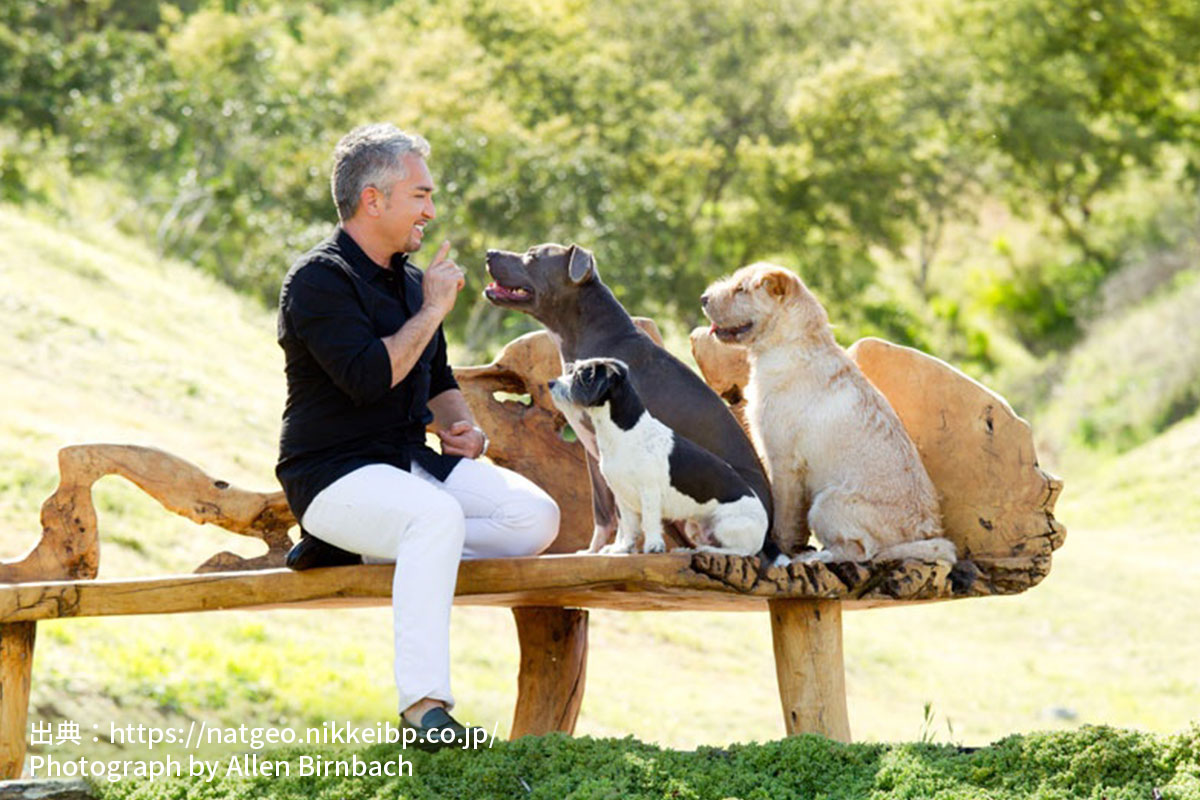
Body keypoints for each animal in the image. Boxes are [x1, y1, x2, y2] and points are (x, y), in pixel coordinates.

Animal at [549, 357, 768, 556]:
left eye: (582, 377)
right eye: (571, 370)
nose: (551, 383)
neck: (626, 432)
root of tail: (764, 529)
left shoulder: (649, 492)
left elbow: (649, 521)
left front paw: (653, 546)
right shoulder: (622, 496)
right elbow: (628, 525)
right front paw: (622, 548)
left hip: (727, 525)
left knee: (742, 551)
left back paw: (707, 550)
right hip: (693, 527)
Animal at [700, 262, 950, 563]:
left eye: (741, 289)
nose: (703, 298)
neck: (789, 344)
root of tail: (923, 535)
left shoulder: (783, 462)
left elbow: (782, 518)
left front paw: (779, 548)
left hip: (826, 503)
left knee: (861, 552)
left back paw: (816, 558)